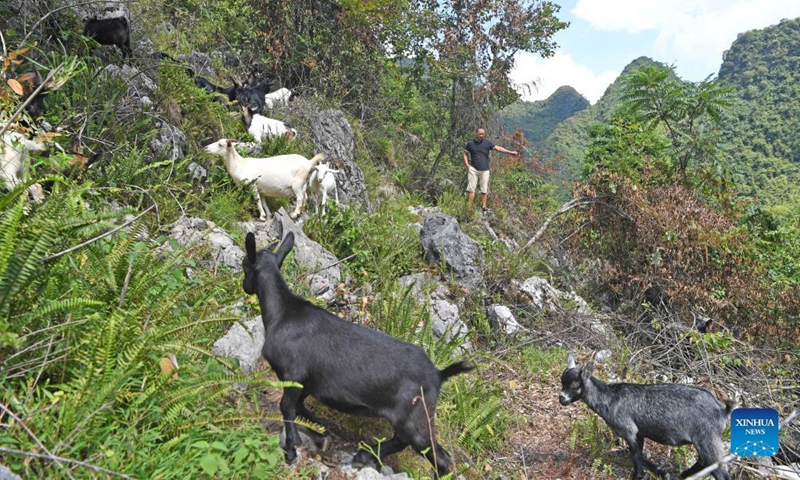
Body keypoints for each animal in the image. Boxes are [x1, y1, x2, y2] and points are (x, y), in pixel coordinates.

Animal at [241, 231, 473, 475]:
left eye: (245, 264)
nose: (245, 286)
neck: (282, 313)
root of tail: (439, 374)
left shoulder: (292, 374)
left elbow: (286, 407)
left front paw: (291, 450)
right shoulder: (308, 383)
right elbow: (299, 407)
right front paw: (322, 435)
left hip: (415, 416)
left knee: (435, 454)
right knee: (409, 442)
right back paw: (364, 456)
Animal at [559, 353, 733, 480]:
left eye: (575, 384)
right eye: (562, 381)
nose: (561, 398)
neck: (609, 397)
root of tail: (721, 410)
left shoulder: (629, 431)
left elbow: (635, 455)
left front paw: (638, 476)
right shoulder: (639, 433)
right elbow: (639, 454)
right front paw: (662, 472)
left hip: (707, 439)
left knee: (720, 471)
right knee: (704, 462)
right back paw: (683, 475)